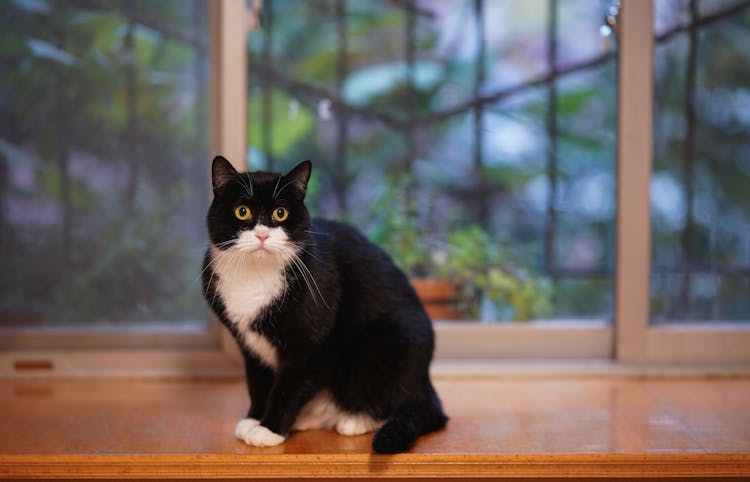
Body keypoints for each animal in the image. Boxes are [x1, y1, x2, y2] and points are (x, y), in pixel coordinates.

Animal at [201, 156, 446, 454]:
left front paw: (269, 429)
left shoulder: (310, 344)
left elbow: (288, 387)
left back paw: (354, 420)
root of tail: (425, 384)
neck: (255, 277)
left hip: (391, 342)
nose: (262, 235)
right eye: (242, 211)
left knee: (415, 408)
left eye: (281, 213)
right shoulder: (249, 345)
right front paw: (254, 419)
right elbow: (257, 383)